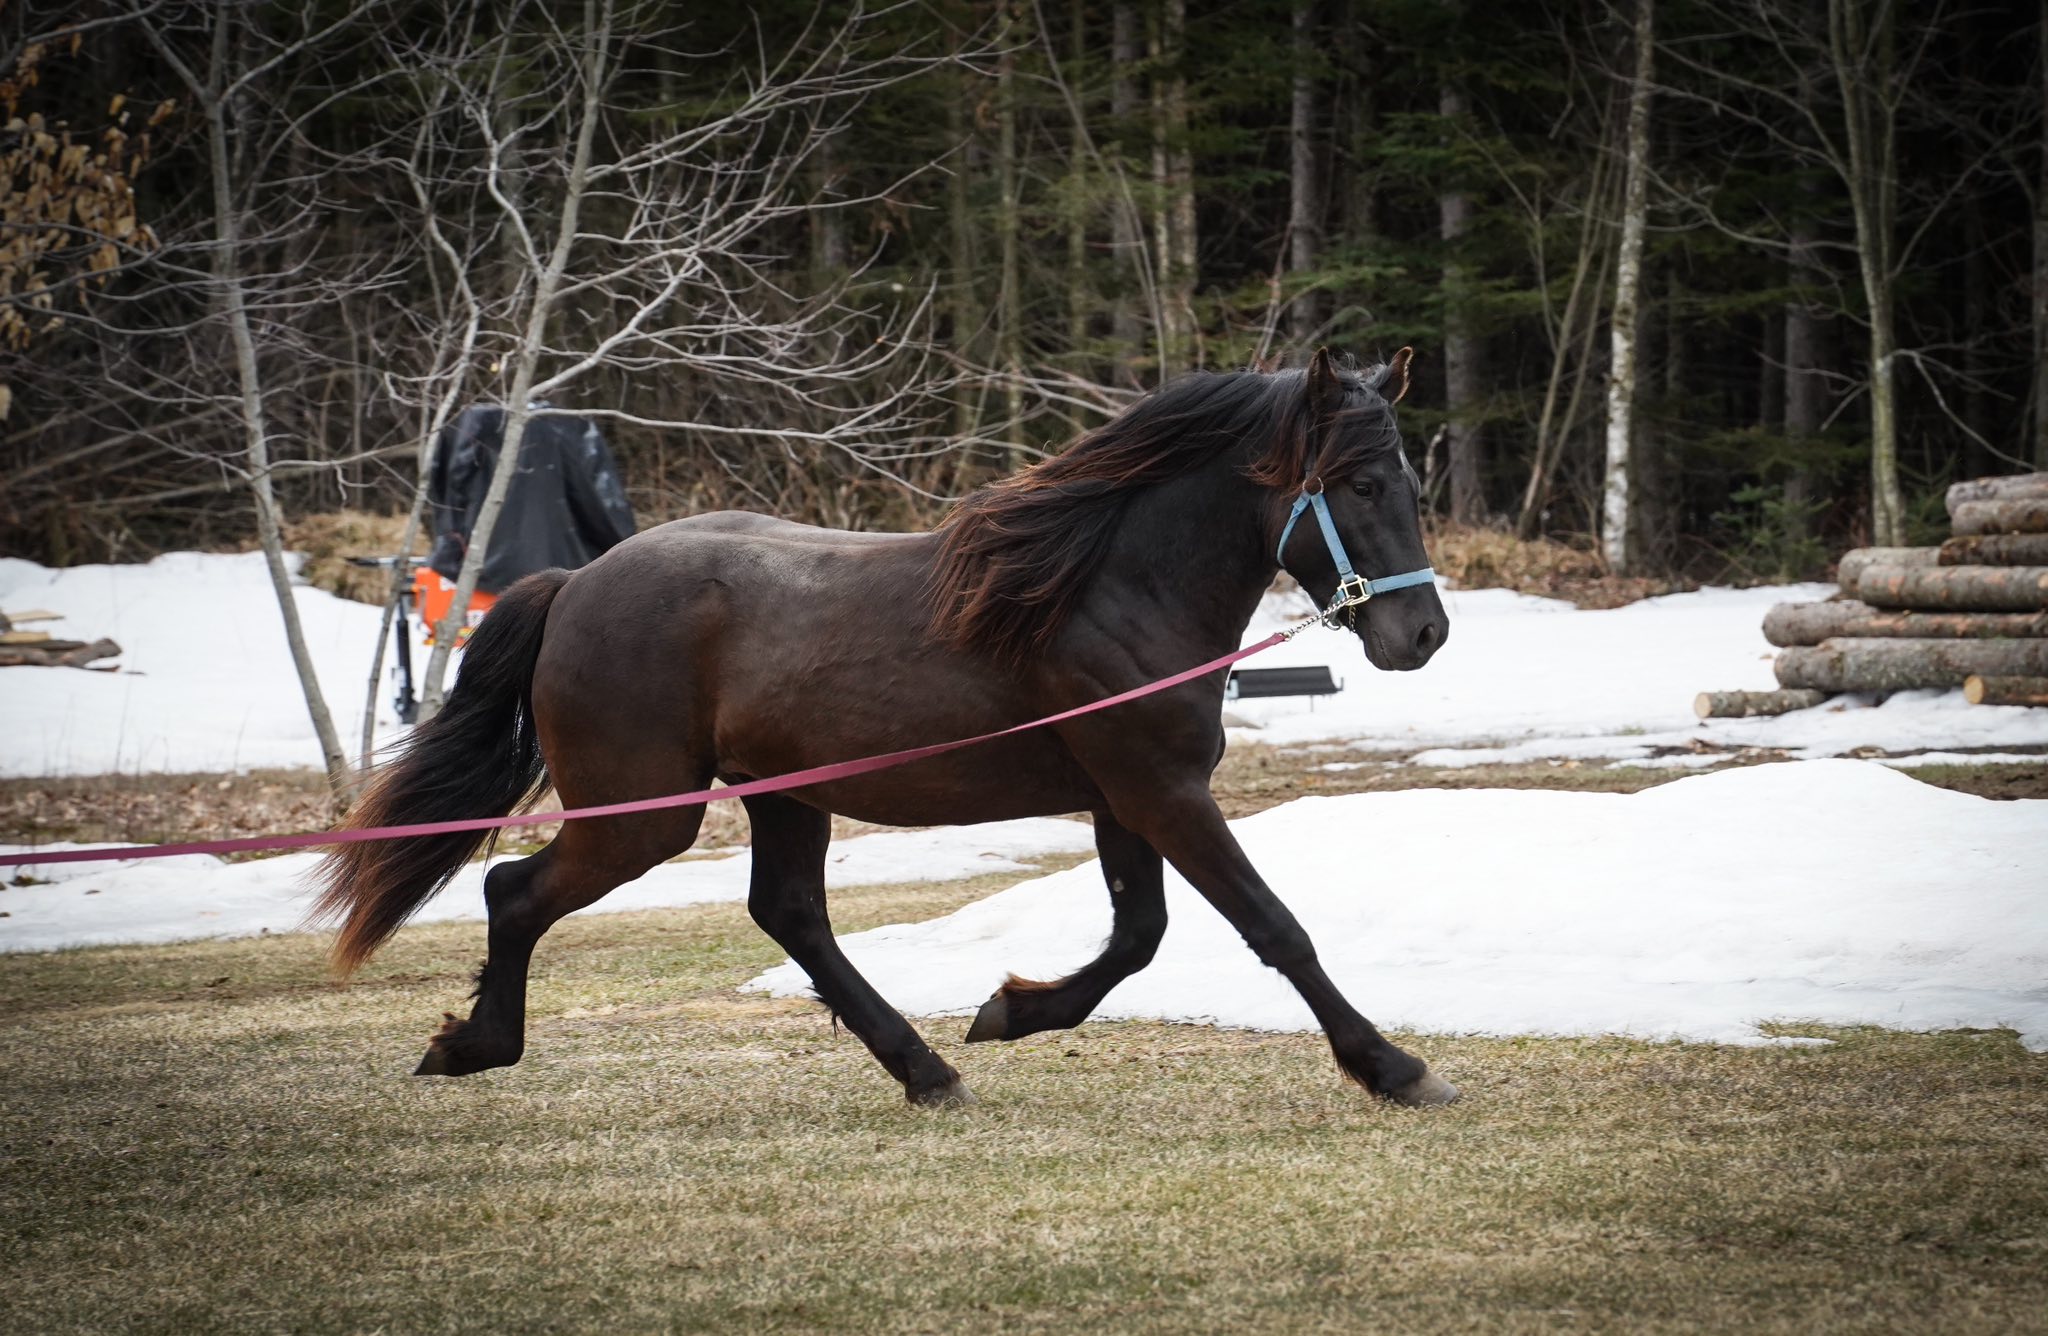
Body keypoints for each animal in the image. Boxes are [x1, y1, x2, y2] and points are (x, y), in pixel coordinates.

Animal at [312, 346, 1456, 1108]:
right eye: (1358, 482)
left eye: (1409, 479)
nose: (1423, 632)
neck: (1105, 587)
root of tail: (576, 582)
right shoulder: (1159, 791)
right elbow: (1272, 928)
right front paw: (1394, 1068)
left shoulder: (1124, 797)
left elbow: (1138, 936)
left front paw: (1010, 1011)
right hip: (644, 816)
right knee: (515, 890)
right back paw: (472, 1045)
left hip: (778, 797)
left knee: (787, 915)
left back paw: (926, 1068)